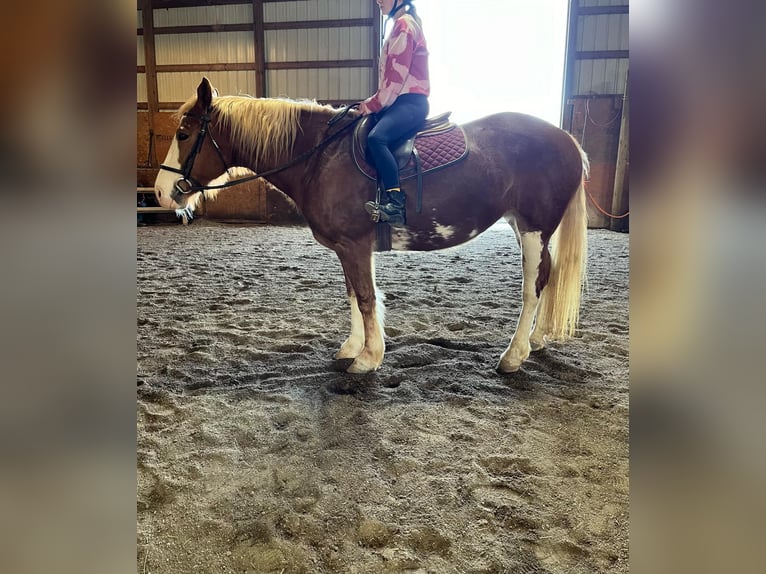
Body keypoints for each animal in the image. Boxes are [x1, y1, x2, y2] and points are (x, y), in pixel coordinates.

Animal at [154, 77, 588, 375]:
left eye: (184, 134)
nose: (160, 192)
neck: (321, 158)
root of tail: (565, 138)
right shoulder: (346, 248)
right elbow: (352, 294)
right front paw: (353, 346)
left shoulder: (355, 245)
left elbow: (365, 297)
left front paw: (368, 358)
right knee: (547, 277)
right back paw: (536, 340)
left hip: (533, 228)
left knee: (532, 285)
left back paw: (514, 355)